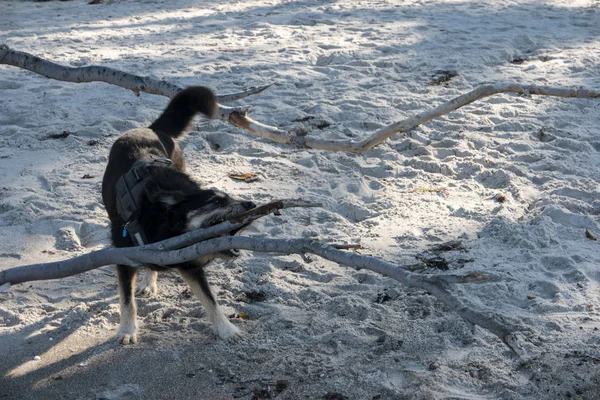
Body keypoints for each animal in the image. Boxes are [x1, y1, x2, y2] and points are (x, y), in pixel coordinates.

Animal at [101, 87, 255, 344]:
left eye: (230, 197)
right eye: (216, 201)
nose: (250, 203)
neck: (166, 225)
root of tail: (149, 128)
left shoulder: (190, 263)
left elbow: (210, 300)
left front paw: (225, 329)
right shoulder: (123, 257)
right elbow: (126, 301)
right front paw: (127, 330)